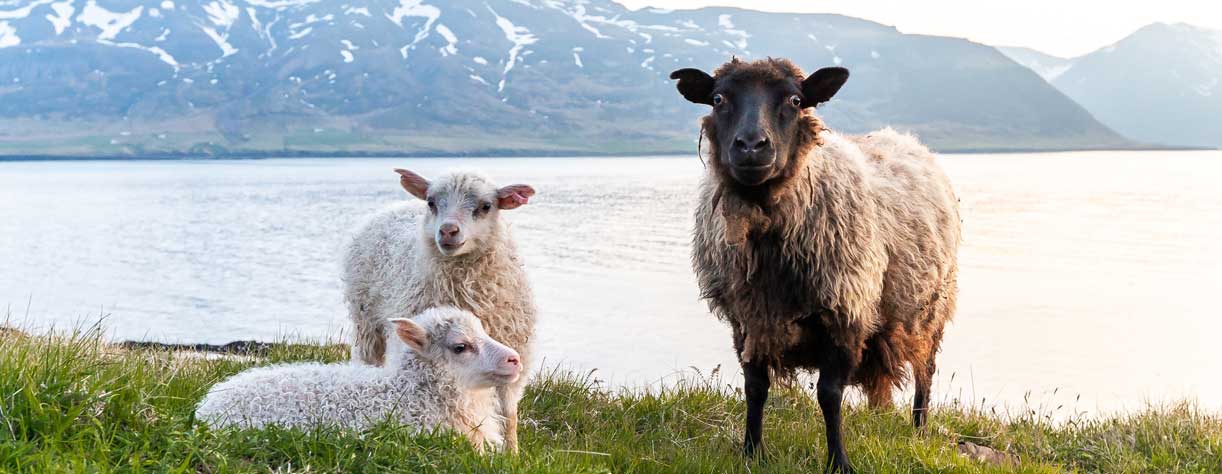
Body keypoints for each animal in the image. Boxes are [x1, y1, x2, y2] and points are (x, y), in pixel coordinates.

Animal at [341, 169, 537, 452]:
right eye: (431, 202)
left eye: (486, 206)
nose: (447, 231)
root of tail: (396, 206)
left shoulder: (513, 350)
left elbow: (509, 414)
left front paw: (513, 453)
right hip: (366, 323)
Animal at [671, 58, 961, 473]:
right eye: (718, 98)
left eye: (795, 100)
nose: (751, 147)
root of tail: (905, 139)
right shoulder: (748, 319)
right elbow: (755, 388)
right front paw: (751, 451)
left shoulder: (844, 312)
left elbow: (829, 394)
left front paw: (839, 461)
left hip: (929, 309)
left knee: (926, 371)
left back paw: (919, 428)